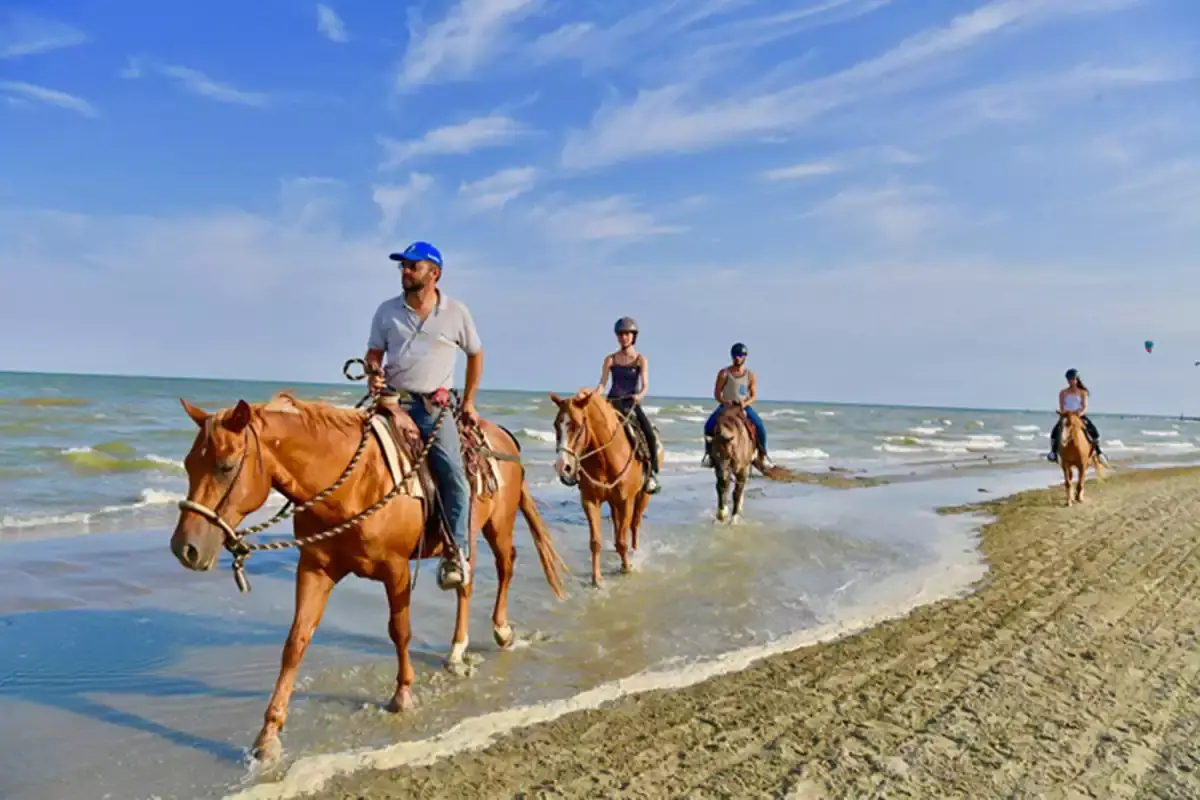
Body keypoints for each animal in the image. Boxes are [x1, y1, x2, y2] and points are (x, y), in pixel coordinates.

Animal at [168, 392, 566, 763]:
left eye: (225, 466)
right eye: (187, 465)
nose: (184, 549)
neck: (352, 485)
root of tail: (503, 438)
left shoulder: (396, 568)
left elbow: (400, 630)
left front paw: (403, 695)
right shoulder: (314, 569)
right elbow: (296, 642)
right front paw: (268, 735)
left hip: (499, 524)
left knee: (505, 566)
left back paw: (502, 631)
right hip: (466, 535)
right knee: (464, 583)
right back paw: (456, 651)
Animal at [549, 389, 664, 587]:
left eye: (578, 426)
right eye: (556, 424)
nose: (562, 466)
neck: (606, 457)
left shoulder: (626, 501)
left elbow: (623, 539)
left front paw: (627, 568)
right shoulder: (590, 501)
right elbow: (595, 541)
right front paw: (596, 579)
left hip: (642, 496)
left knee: (634, 525)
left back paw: (634, 551)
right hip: (613, 502)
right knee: (619, 525)